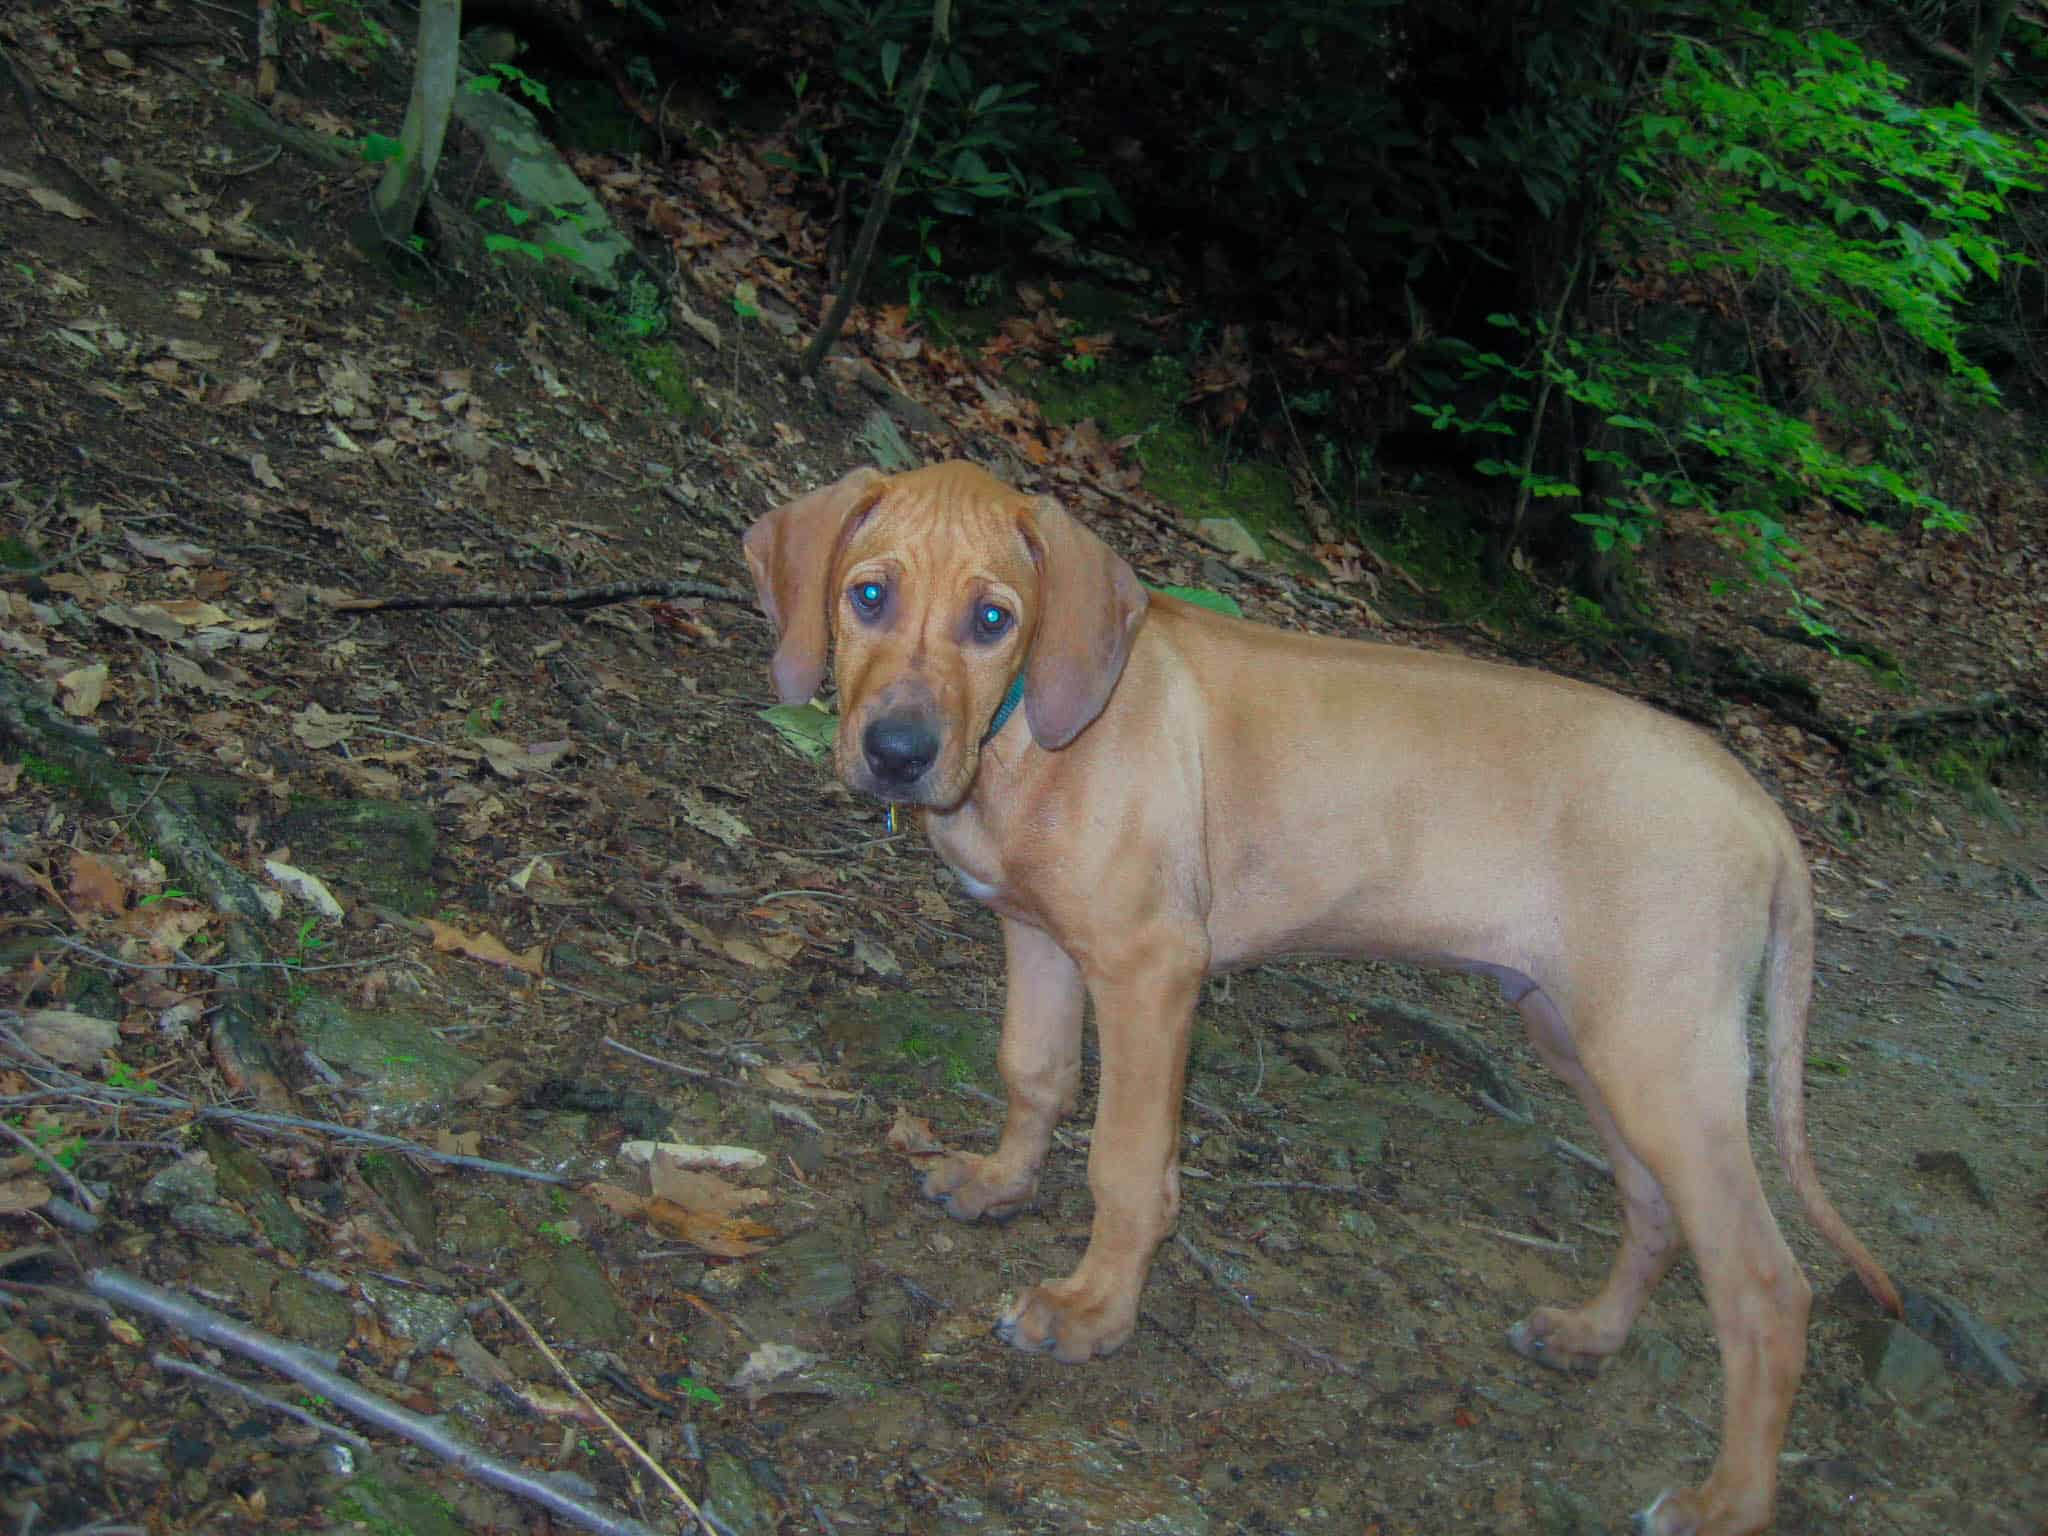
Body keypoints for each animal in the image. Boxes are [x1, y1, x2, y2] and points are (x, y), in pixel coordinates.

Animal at [749, 466, 1900, 1536]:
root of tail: (1761, 809)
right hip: (1581, 1036)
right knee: (1656, 1210)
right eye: (866, 596)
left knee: (1765, 1287)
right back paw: (1589, 1336)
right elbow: (1032, 1074)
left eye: (992, 619)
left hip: (1658, 1059)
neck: (1028, 727)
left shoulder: (1151, 969)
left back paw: (1728, 1502)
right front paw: (998, 1184)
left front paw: (1093, 1310)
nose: (897, 755)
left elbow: (1125, 1163)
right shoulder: (1037, 939)